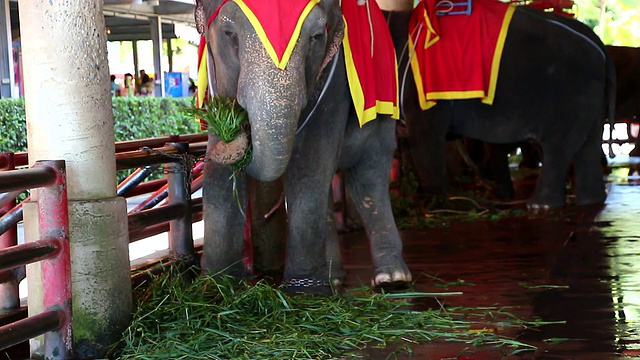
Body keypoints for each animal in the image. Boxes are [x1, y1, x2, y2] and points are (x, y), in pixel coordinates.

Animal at [195, 0, 412, 294]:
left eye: (316, 37)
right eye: (229, 34)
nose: (238, 132)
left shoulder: (334, 77)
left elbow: (310, 158)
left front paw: (304, 289)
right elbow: (218, 175)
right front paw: (215, 285)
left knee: (369, 177)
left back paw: (392, 278)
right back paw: (333, 277)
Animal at [384, 2, 616, 210]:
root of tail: (601, 49)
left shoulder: (424, 92)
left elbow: (425, 139)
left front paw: (434, 206)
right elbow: (408, 145)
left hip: (569, 96)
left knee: (558, 148)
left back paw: (539, 205)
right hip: (590, 103)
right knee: (587, 147)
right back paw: (589, 201)